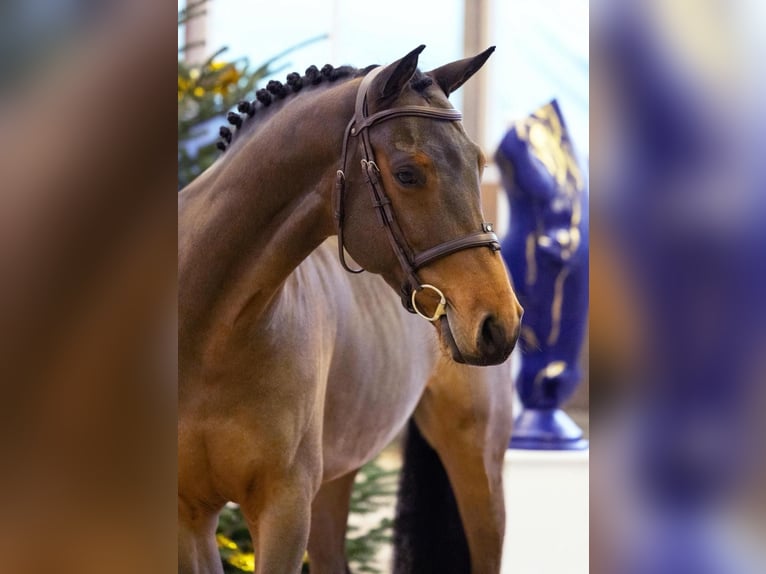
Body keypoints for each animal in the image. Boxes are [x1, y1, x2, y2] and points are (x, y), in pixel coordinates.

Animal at [178, 45, 523, 574]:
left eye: (479, 162)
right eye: (407, 173)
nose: (498, 321)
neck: (209, 334)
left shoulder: (284, 510)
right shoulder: (189, 517)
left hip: (478, 465)